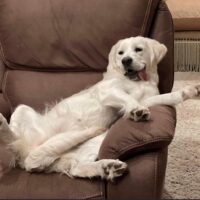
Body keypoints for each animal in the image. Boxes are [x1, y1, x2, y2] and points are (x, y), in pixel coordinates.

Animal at [0, 36, 200, 181]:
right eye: (120, 53)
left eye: (138, 49)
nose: (126, 61)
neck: (137, 81)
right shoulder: (108, 91)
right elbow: (128, 98)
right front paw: (136, 110)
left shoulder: (148, 98)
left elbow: (166, 97)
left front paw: (190, 91)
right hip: (22, 113)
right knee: (22, 149)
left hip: (89, 143)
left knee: (71, 166)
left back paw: (106, 166)